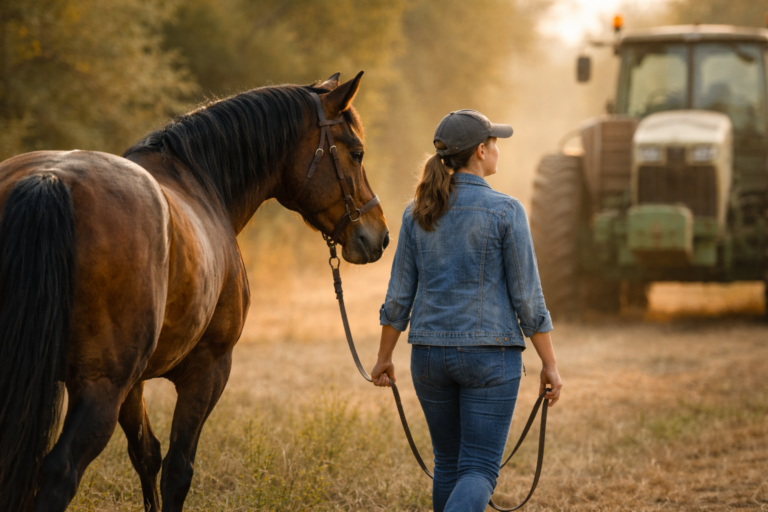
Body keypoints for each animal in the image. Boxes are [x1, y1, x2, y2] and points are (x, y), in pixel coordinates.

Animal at [0, 72, 389, 512]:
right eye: (357, 153)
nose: (379, 236)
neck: (200, 180)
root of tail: (48, 179)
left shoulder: (134, 384)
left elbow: (146, 454)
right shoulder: (208, 370)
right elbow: (177, 469)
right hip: (100, 388)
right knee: (60, 473)